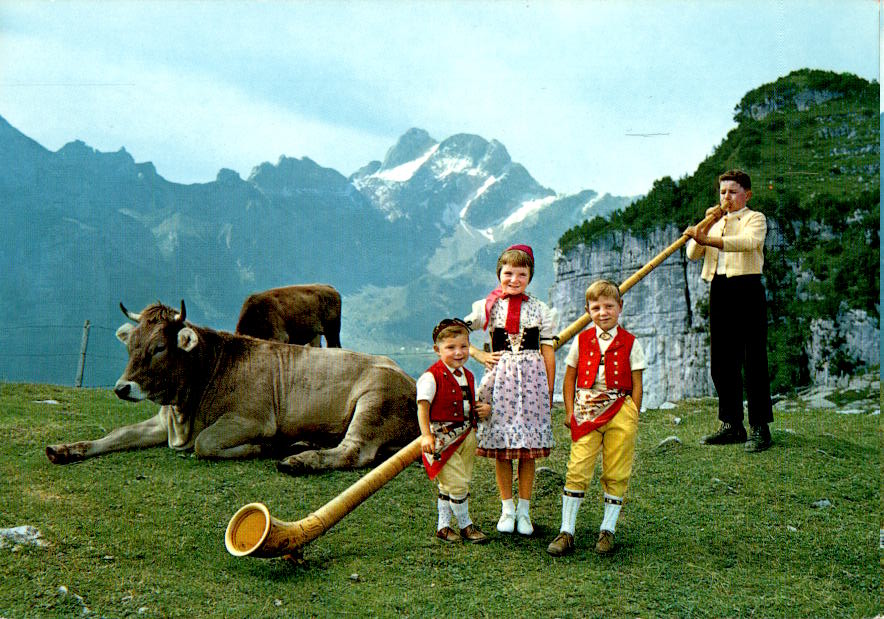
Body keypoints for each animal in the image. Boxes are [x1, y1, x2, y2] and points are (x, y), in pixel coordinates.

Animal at [46, 302, 420, 474]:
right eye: (131, 345)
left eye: (159, 347)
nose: (122, 388)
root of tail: (409, 377)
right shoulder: (162, 422)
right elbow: (117, 434)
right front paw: (66, 449)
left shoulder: (251, 420)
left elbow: (205, 443)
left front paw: (261, 448)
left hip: (373, 402)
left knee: (354, 451)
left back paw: (297, 460)